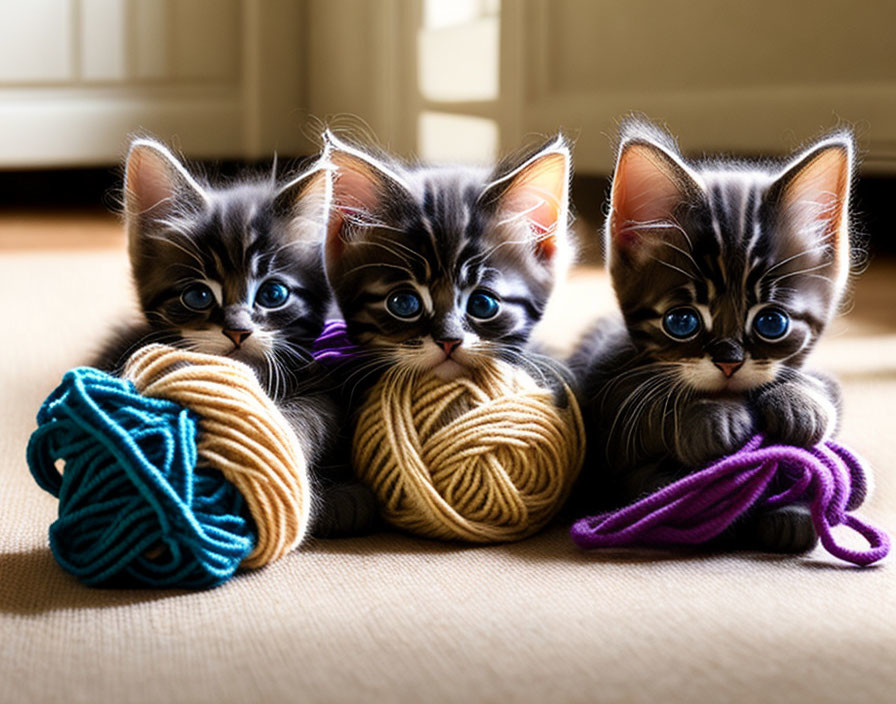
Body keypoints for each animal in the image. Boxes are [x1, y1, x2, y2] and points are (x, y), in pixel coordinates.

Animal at [572, 118, 856, 552]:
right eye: (682, 322)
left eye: (772, 323)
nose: (729, 361)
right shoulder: (610, 398)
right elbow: (651, 403)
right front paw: (712, 416)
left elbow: (822, 388)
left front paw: (801, 403)